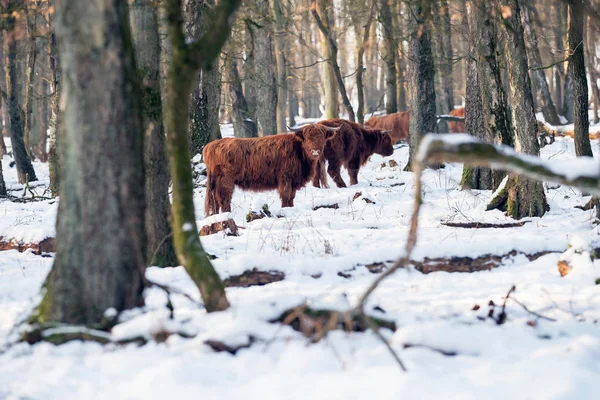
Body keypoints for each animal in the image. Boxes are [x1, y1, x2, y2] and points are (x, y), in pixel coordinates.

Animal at [204, 124, 340, 216]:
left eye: (322, 138)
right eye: (307, 138)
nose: (315, 151)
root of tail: (211, 145)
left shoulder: (294, 181)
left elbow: (292, 197)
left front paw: (291, 208)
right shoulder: (285, 177)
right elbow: (286, 195)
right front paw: (285, 210)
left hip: (215, 182)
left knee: (214, 200)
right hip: (225, 181)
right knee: (224, 199)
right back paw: (227, 215)